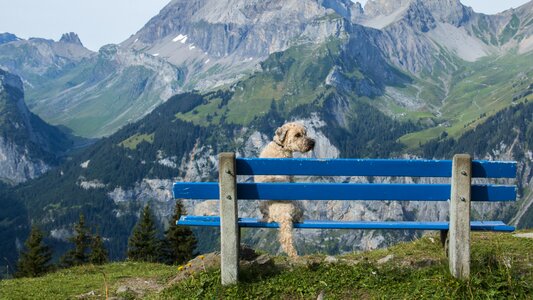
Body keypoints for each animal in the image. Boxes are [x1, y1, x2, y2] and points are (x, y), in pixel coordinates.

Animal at [255, 122, 314, 258]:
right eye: (297, 135)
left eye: (305, 133)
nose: (312, 143)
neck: (280, 146)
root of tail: (283, 213)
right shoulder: (291, 177)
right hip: (299, 205)